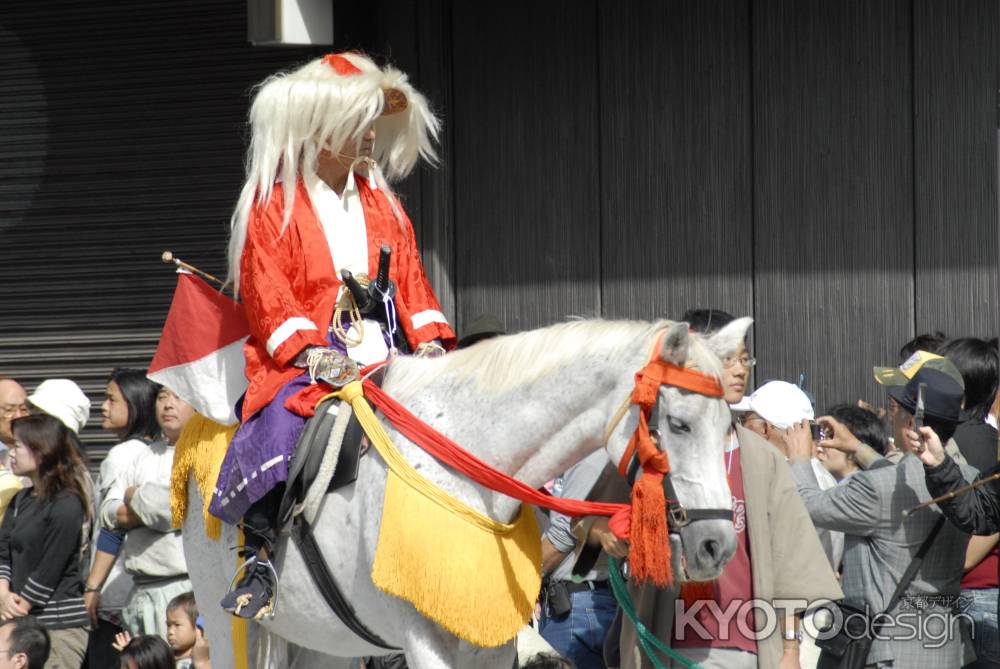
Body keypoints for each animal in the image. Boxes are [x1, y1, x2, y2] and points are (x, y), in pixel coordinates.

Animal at [182, 318, 752, 668]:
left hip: (322, 640)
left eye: (729, 424)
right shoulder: (423, 637)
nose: (717, 545)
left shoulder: (491, 640)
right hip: (228, 626)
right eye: (678, 424)